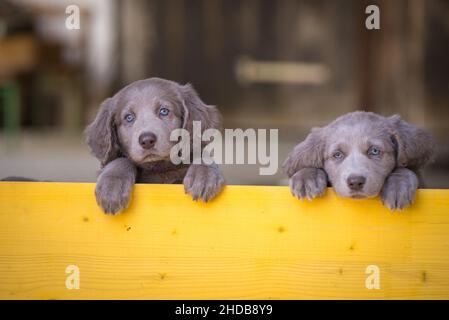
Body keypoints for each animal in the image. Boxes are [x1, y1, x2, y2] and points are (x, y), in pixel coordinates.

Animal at [85, 77, 224, 215]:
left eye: (164, 111)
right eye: (129, 117)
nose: (147, 140)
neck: (158, 167)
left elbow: (202, 155)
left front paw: (204, 176)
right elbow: (120, 160)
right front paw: (112, 187)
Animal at [284, 111, 434, 211]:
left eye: (374, 151)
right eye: (337, 154)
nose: (355, 182)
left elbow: (404, 168)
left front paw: (397, 187)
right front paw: (306, 178)